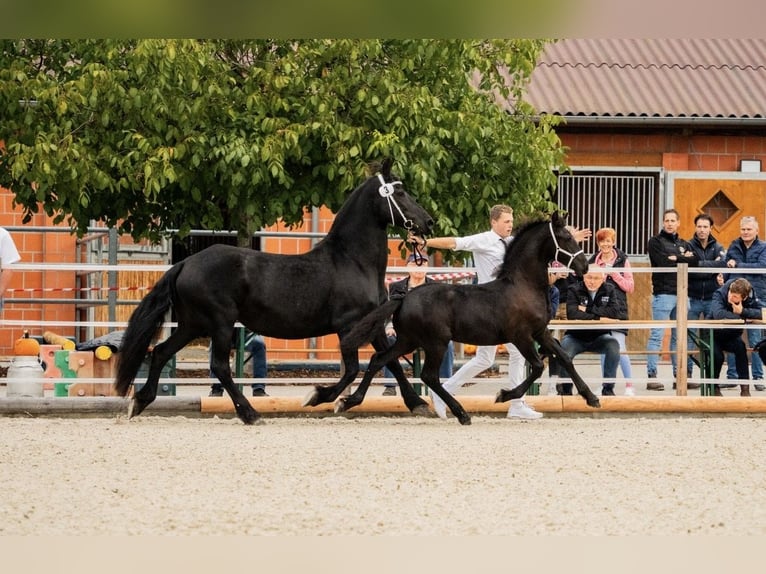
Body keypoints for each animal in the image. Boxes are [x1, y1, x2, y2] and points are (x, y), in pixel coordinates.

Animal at [114, 158, 434, 424]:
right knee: (219, 366)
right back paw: (250, 414)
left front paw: (417, 404)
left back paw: (139, 402)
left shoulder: (374, 324)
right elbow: (355, 369)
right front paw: (321, 397)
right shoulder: (349, 326)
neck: (351, 261)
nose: (428, 222)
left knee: (159, 352)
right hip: (219, 323)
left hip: (192, 324)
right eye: (400, 193)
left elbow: (390, 362)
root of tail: (185, 263)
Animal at [321, 211, 600, 425]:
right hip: (435, 343)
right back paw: (460, 413)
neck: (522, 286)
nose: (584, 267)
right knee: (428, 376)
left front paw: (592, 398)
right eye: (565, 238)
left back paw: (347, 401)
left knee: (379, 360)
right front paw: (503, 395)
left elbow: (564, 358)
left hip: (408, 341)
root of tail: (404, 297)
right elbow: (539, 366)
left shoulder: (540, 332)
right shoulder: (521, 336)